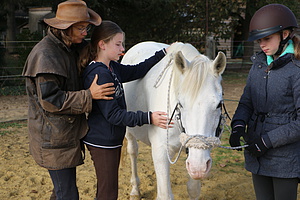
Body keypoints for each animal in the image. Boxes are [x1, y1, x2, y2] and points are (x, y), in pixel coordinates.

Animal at [120, 41, 226, 199]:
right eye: (180, 104)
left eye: (219, 104)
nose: (199, 167)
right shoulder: (161, 151)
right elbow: (165, 194)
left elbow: (193, 189)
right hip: (129, 132)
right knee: (133, 152)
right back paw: (135, 189)